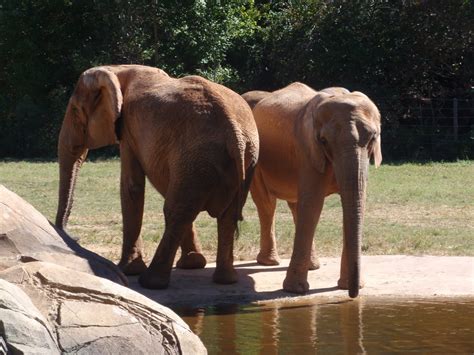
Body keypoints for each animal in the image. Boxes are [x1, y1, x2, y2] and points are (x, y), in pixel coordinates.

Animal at [57, 65, 262, 290]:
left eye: (75, 111)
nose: (74, 237)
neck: (117, 70)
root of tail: (235, 135)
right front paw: (193, 263)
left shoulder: (127, 128)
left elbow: (131, 186)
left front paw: (129, 270)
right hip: (241, 157)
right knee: (223, 214)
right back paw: (224, 280)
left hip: (198, 156)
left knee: (177, 211)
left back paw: (151, 283)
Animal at [244, 82, 382, 298]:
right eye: (324, 141)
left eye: (372, 139)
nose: (353, 295)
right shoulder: (308, 149)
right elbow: (313, 204)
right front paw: (294, 290)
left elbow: (354, 201)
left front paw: (347, 286)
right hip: (255, 157)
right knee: (267, 204)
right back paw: (269, 262)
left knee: (293, 205)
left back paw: (312, 266)